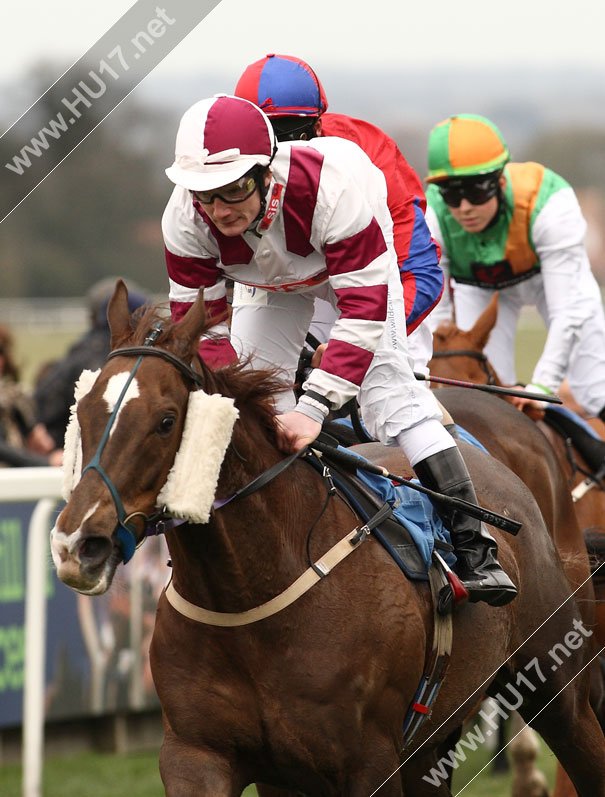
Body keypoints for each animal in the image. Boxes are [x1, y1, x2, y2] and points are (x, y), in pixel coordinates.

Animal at [50, 282, 604, 792]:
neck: (248, 595)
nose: (79, 543)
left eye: (166, 421)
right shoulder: (200, 755)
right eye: (84, 413)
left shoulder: (369, 763)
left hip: (559, 687)